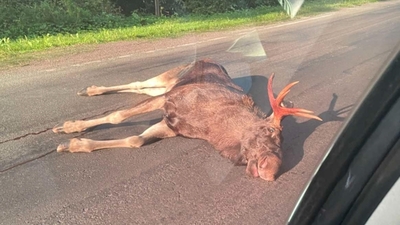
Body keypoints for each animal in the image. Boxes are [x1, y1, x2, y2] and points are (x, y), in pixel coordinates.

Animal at [53, 58, 322, 181]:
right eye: (271, 132)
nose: (272, 170)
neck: (213, 129)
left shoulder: (171, 125)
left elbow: (134, 140)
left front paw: (74, 145)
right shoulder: (169, 100)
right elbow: (118, 116)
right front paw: (71, 128)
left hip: (167, 84)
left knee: (142, 87)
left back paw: (91, 90)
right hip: (170, 79)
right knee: (140, 82)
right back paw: (90, 91)